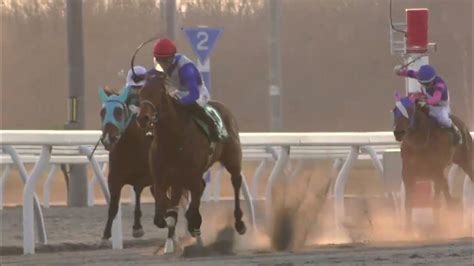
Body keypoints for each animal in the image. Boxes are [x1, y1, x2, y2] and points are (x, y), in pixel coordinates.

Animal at [98, 87, 154, 239]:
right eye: (102, 112)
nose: (107, 139)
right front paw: (106, 235)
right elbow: (113, 207)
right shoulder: (114, 178)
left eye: (118, 112)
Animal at [392, 93, 470, 229]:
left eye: (410, 110)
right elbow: (408, 203)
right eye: (395, 110)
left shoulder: (436, 171)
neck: (420, 144)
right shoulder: (408, 174)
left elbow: (436, 202)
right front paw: (408, 229)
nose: (398, 132)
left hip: (466, 159)